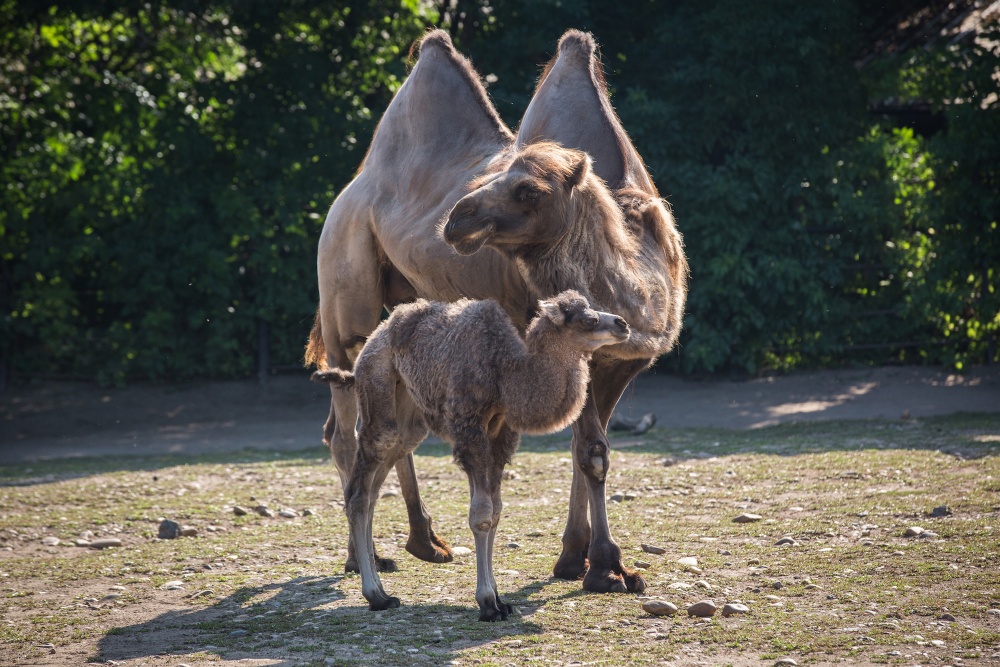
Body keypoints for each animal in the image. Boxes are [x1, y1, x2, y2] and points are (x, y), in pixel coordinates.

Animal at [314, 290, 624, 624]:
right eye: (589, 320)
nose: (622, 324)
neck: (506, 373)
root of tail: (370, 344)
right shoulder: (469, 429)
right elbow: (482, 515)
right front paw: (487, 602)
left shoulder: (500, 435)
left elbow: (496, 511)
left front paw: (500, 601)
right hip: (378, 387)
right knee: (361, 489)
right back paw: (376, 596)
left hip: (408, 413)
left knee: (376, 483)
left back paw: (381, 590)